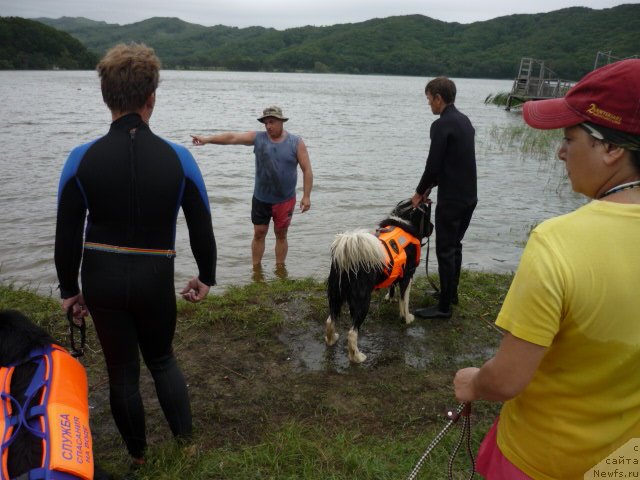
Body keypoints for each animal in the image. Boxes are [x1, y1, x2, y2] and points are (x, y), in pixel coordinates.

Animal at [324, 201, 436, 362]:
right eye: (427, 216)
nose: (433, 227)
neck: (405, 220)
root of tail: (348, 260)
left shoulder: (396, 271)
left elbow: (392, 285)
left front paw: (390, 298)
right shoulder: (407, 276)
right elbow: (405, 300)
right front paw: (407, 318)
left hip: (336, 295)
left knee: (330, 321)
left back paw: (331, 339)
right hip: (362, 301)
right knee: (352, 333)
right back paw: (357, 357)